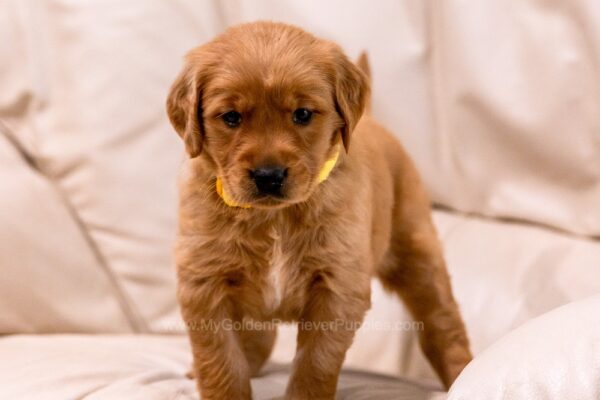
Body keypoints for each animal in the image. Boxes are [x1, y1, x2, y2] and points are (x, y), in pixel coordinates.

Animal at [166, 22, 472, 400]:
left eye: (302, 114)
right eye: (231, 118)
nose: (268, 175)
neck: (274, 217)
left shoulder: (338, 284)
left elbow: (316, 363)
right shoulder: (204, 282)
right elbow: (221, 362)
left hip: (417, 252)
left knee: (442, 324)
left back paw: (463, 373)